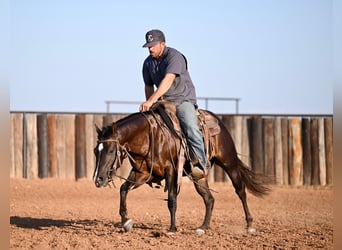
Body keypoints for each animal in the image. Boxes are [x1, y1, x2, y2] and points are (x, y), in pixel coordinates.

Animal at [92, 103, 268, 234]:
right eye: (95, 151)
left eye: (110, 150)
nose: (98, 179)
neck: (150, 136)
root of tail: (219, 122)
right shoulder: (141, 173)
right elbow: (123, 189)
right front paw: (126, 221)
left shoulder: (172, 171)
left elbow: (171, 199)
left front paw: (172, 228)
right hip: (199, 176)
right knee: (209, 198)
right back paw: (203, 227)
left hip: (229, 162)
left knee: (241, 191)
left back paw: (250, 226)